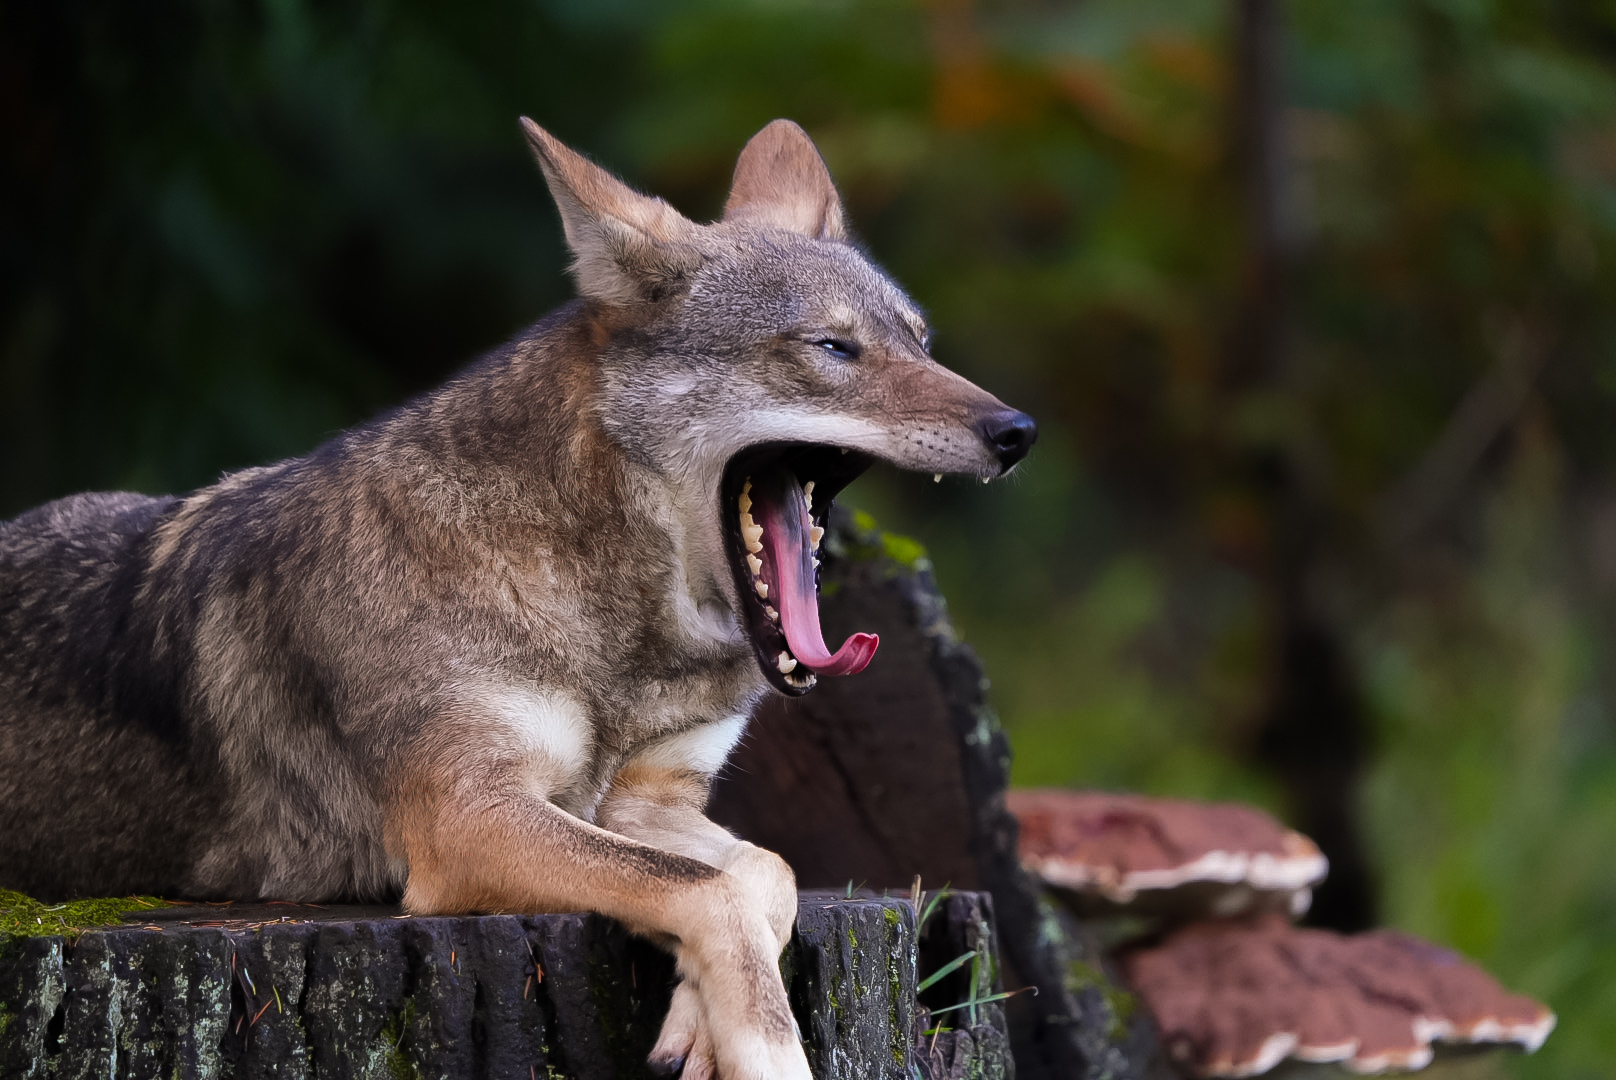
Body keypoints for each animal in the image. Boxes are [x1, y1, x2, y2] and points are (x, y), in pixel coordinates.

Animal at [0, 118, 1034, 1078]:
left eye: (922, 346)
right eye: (832, 348)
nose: (1016, 430)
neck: (618, 640)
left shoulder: (639, 801)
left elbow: (761, 874)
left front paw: (698, 1015)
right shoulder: (470, 817)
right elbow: (709, 891)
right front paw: (760, 1049)